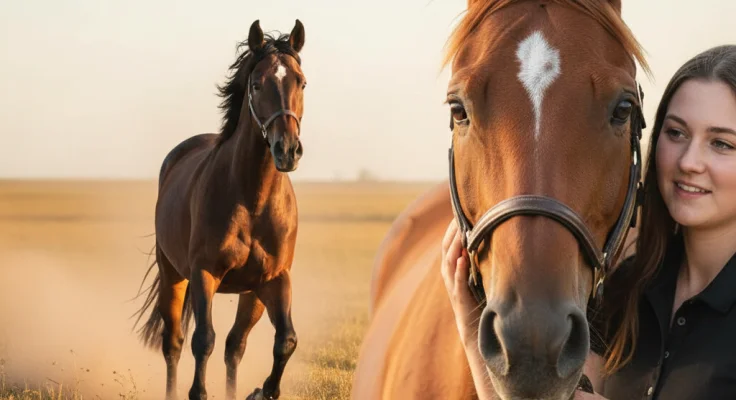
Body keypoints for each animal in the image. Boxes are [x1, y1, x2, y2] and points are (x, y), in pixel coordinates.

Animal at [132, 19, 307, 400]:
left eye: (301, 82)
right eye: (257, 84)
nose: (286, 150)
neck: (252, 200)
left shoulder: (274, 280)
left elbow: (285, 341)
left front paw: (262, 392)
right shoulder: (204, 273)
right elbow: (203, 340)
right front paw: (199, 392)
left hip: (250, 294)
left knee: (235, 346)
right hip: (173, 275)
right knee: (174, 344)